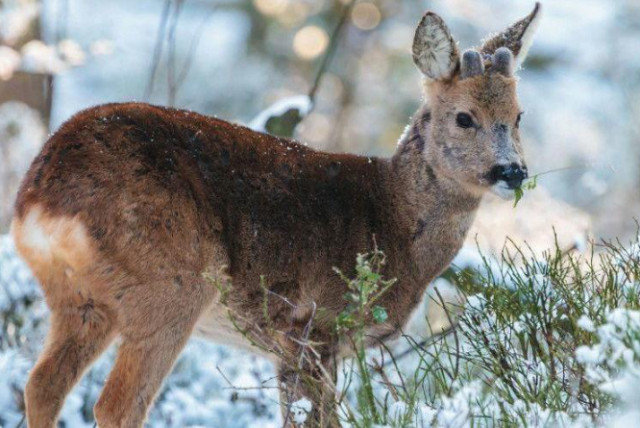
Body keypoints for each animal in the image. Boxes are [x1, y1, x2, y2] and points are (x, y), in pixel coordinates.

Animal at [11, 4, 540, 428]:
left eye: (518, 116)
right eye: (464, 117)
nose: (513, 171)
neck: (392, 220)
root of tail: (41, 196)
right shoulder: (314, 325)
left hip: (79, 298)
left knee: (40, 386)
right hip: (169, 282)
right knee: (116, 405)